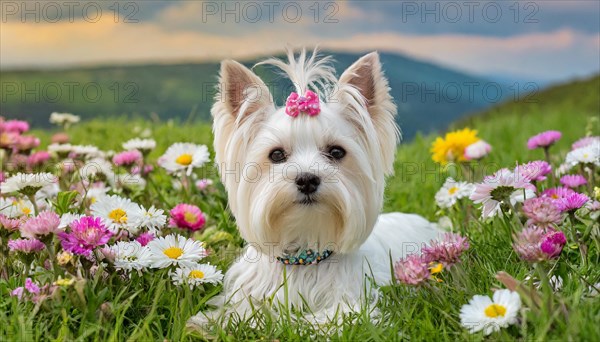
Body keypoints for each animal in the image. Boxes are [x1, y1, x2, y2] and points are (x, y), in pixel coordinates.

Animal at [190, 49, 438, 328]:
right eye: (276, 154)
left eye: (336, 152)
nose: (307, 179)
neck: (305, 255)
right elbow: (240, 312)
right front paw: (206, 322)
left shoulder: (355, 303)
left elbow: (328, 320)